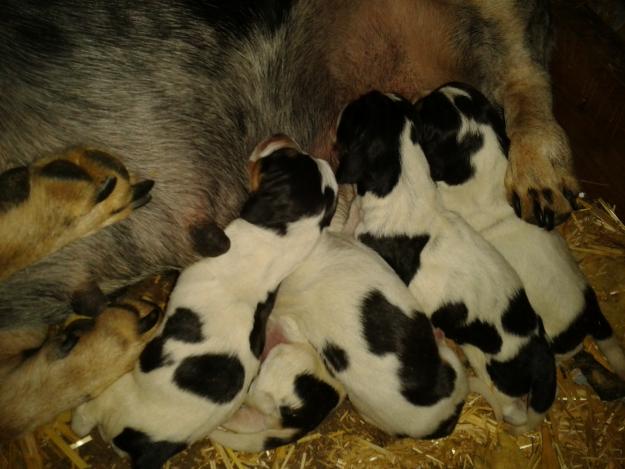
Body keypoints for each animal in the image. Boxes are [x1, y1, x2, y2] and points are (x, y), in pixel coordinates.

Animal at [336, 89, 556, 430]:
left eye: (355, 112)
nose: (342, 106)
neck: (405, 191)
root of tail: (539, 349)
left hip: (494, 372)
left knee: (512, 408)